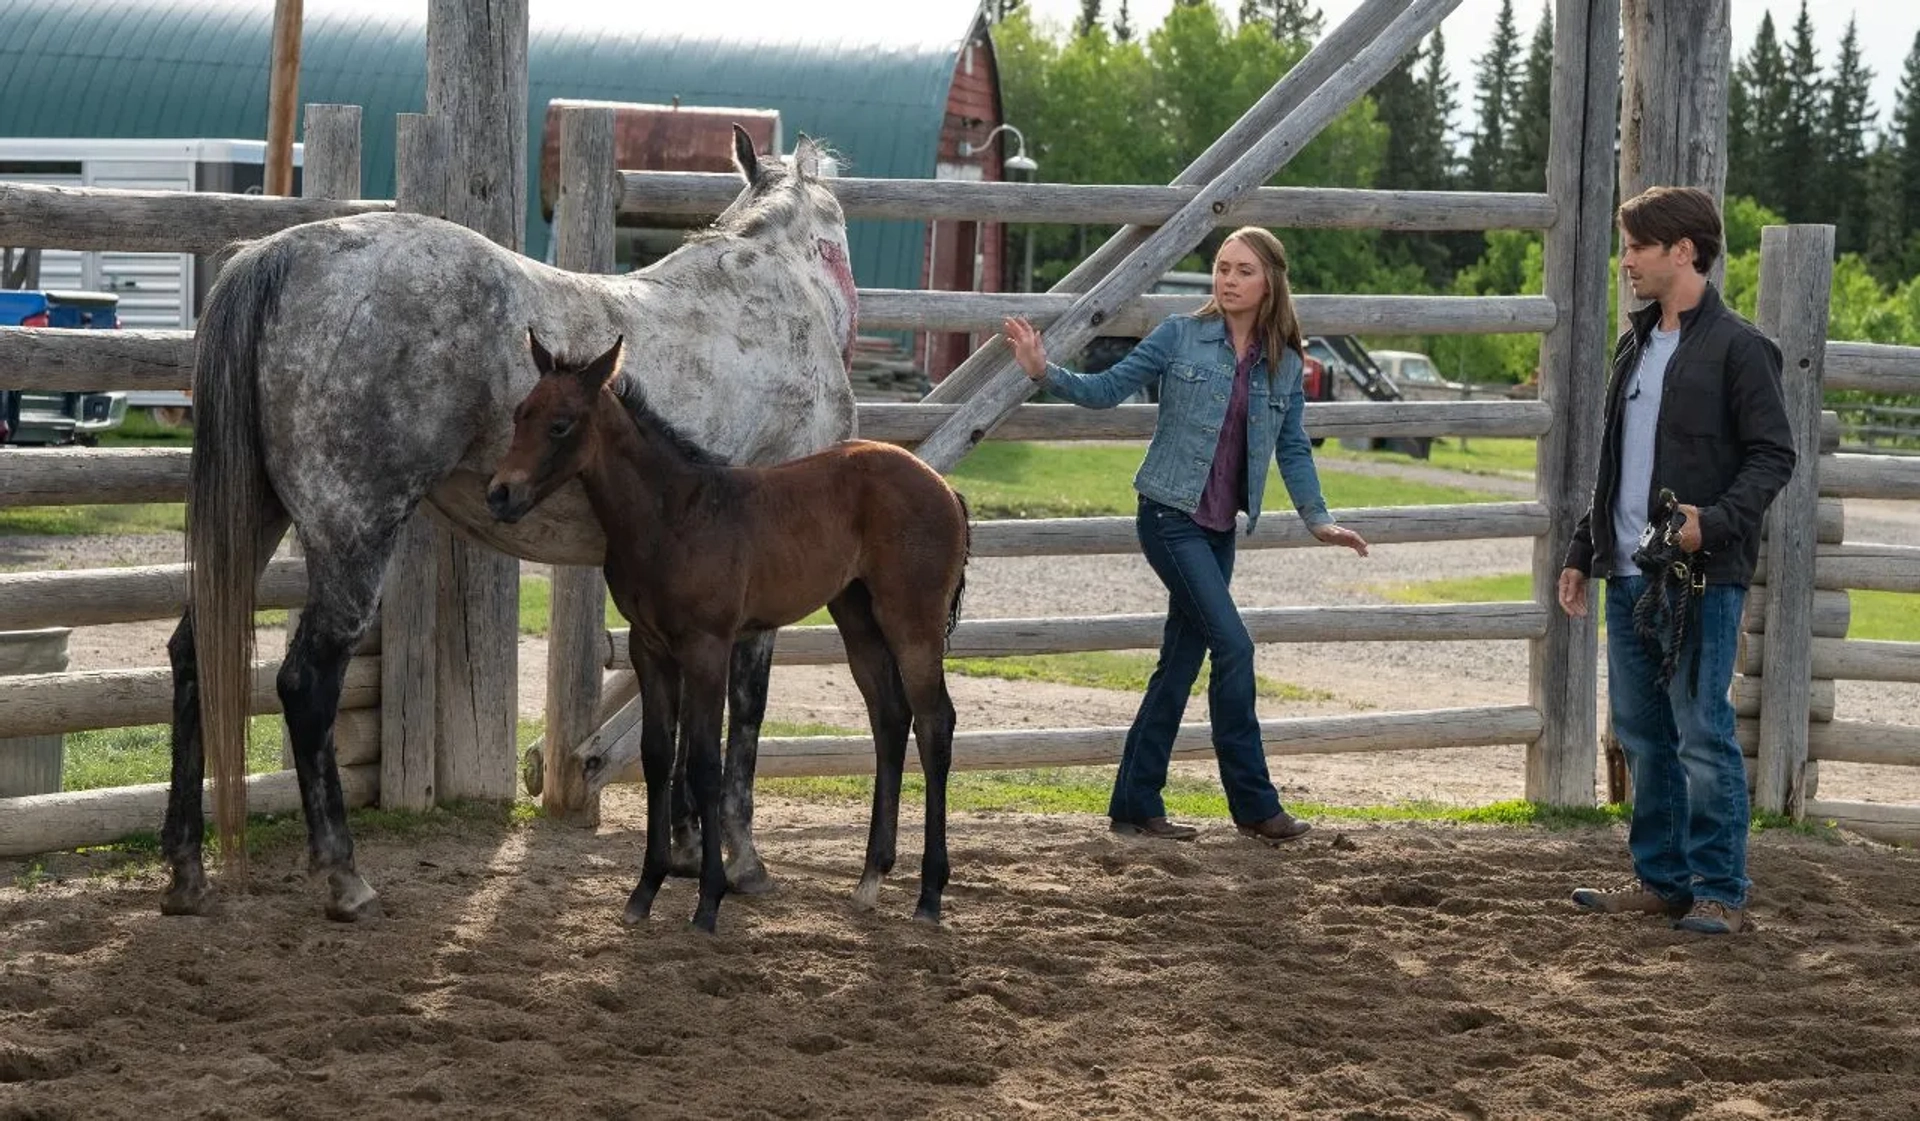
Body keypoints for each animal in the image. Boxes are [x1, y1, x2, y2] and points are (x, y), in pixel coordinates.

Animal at [165, 129, 856, 921]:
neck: (773, 298)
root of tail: (280, 255)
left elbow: (685, 724)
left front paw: (685, 848)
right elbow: (741, 720)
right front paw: (739, 858)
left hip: (257, 520)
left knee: (193, 656)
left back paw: (186, 870)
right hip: (353, 536)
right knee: (306, 685)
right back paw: (345, 876)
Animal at [491, 332, 975, 936]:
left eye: (560, 424)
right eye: (520, 414)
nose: (499, 494)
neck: (673, 517)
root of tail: (943, 488)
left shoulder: (707, 646)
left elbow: (704, 762)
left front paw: (708, 899)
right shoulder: (648, 647)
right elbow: (657, 755)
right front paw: (645, 890)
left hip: (912, 621)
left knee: (935, 724)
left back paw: (929, 894)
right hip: (857, 615)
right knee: (889, 717)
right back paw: (870, 880)